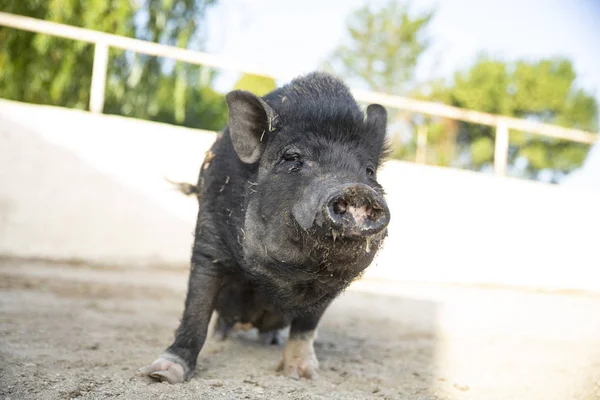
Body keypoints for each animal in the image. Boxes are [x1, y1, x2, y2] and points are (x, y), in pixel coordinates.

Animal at [139, 72, 392, 384]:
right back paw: (222, 338)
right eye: (292, 158)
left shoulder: (334, 284)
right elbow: (196, 308)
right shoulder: (209, 242)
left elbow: (307, 325)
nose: (357, 190)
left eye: (369, 171)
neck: (281, 279)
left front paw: (305, 375)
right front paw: (160, 374)